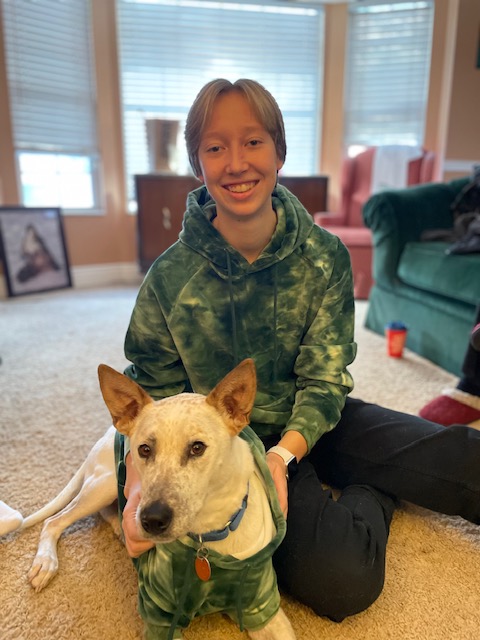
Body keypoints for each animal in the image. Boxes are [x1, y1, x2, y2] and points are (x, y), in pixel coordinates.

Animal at [0, 360, 294, 640]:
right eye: (144, 449)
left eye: (197, 448)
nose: (151, 520)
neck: (208, 538)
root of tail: (107, 433)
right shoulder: (159, 616)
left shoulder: (262, 607)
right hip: (104, 484)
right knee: (55, 520)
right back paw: (45, 562)